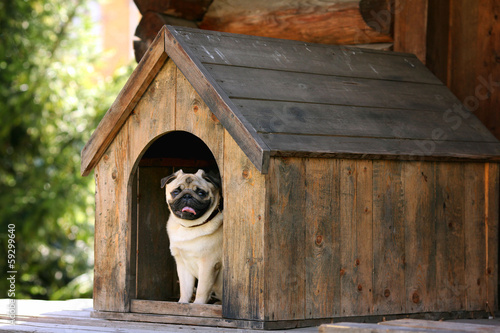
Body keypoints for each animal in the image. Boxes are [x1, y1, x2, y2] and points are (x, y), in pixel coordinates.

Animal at [160, 170, 223, 302]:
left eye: (201, 193)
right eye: (176, 192)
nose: (187, 196)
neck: (189, 227)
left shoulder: (208, 265)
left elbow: (201, 291)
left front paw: (197, 305)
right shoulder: (183, 265)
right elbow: (185, 289)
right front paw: (183, 303)